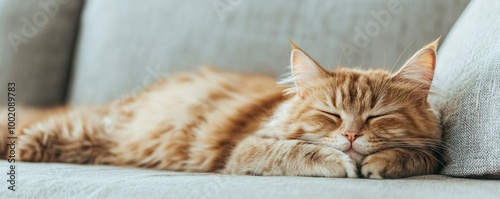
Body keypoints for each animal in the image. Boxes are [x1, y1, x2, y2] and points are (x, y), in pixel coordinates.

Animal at [0, 39, 442, 179]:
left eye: (378, 117)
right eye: (331, 115)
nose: (351, 135)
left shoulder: (432, 152)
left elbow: (416, 154)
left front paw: (383, 160)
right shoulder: (247, 148)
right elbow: (300, 151)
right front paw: (342, 161)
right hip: (73, 132)